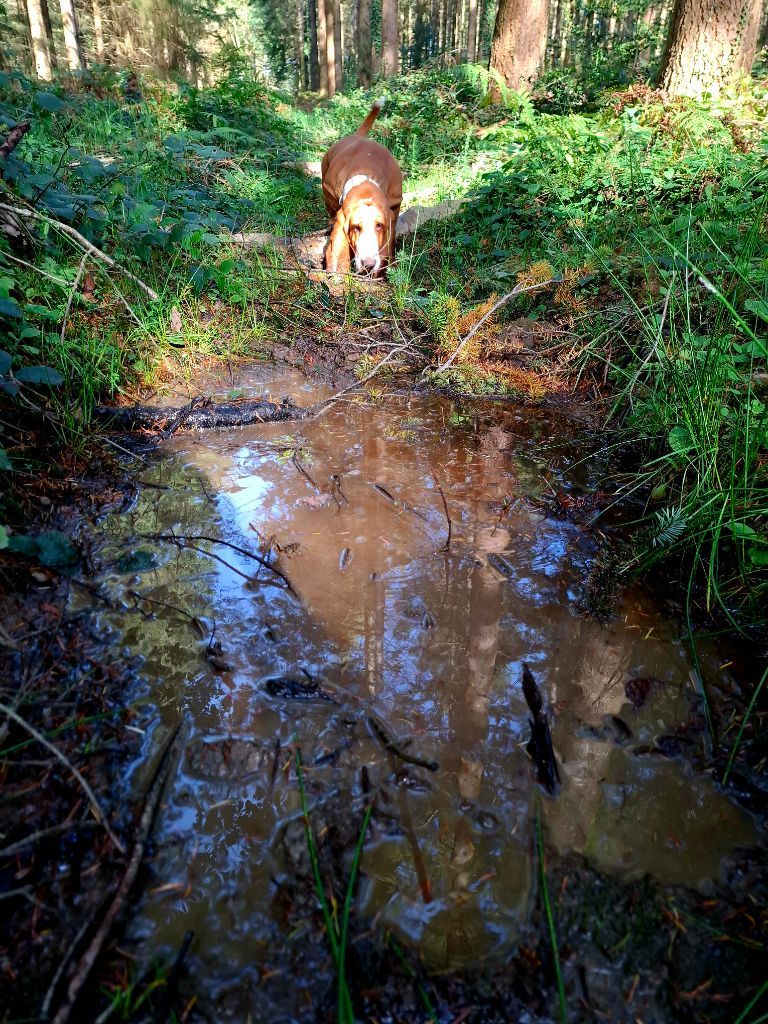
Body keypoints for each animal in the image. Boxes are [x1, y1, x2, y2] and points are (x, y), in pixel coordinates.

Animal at [319, 98, 403, 278]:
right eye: (356, 227)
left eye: (379, 225)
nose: (368, 264)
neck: (365, 179)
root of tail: (357, 136)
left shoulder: (394, 208)